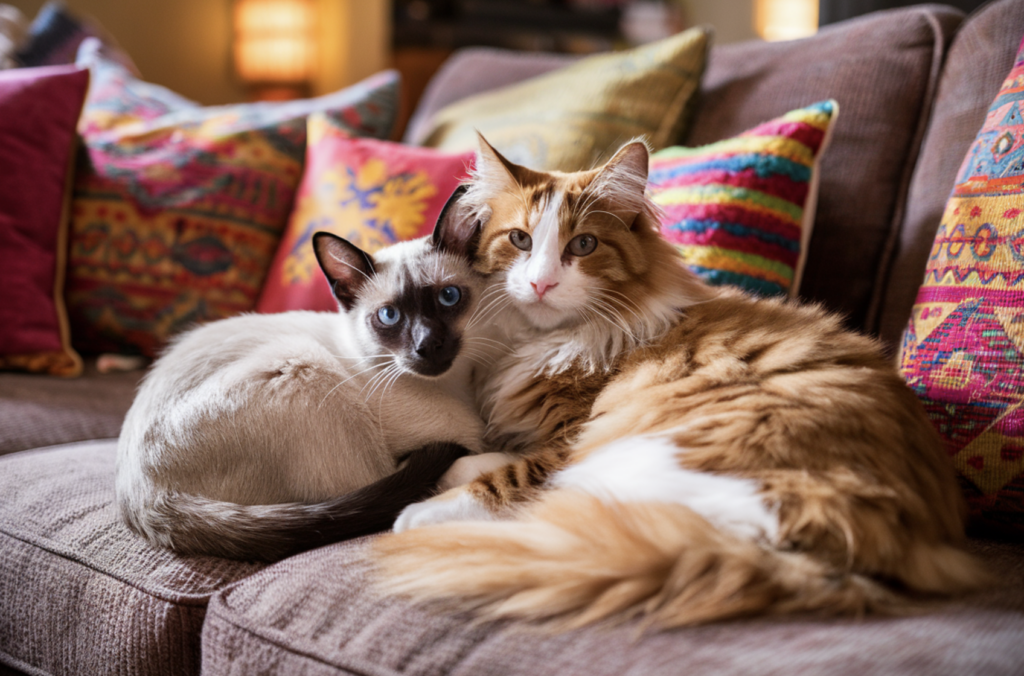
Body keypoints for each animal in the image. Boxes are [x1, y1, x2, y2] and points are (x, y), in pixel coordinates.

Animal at [117, 188, 520, 561]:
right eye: (389, 316)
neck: (455, 388)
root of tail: (141, 496)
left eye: (448, 297)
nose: (427, 345)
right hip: (302, 362)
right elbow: (467, 459)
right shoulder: (438, 443)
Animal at [372, 136, 987, 626]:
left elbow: (509, 475)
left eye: (583, 245)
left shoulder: (570, 440)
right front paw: (457, 467)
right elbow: (486, 457)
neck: (541, 341)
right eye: (519, 241)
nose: (542, 283)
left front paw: (424, 507)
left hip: (647, 454)